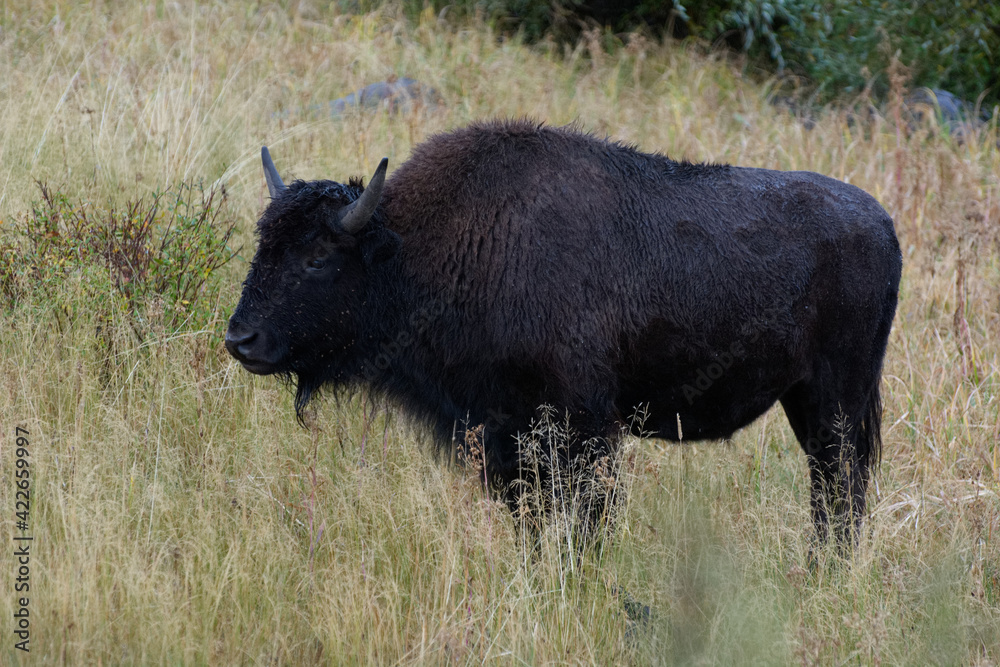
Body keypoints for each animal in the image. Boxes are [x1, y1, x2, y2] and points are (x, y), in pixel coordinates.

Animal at [229, 120, 908, 544]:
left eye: (318, 257)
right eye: (263, 243)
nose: (241, 342)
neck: (422, 249)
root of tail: (882, 224)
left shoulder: (580, 428)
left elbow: (583, 519)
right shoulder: (505, 436)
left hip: (836, 401)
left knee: (839, 490)